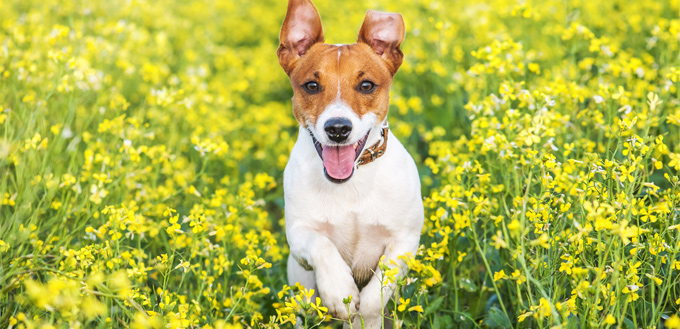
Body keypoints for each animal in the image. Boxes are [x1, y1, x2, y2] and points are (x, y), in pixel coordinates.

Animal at [278, 0, 422, 326]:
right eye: (311, 85)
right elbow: (321, 246)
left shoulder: (404, 241)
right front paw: (339, 292)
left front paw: (363, 313)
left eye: (366, 85)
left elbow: (375, 294)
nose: (338, 128)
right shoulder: (299, 235)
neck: (351, 183)